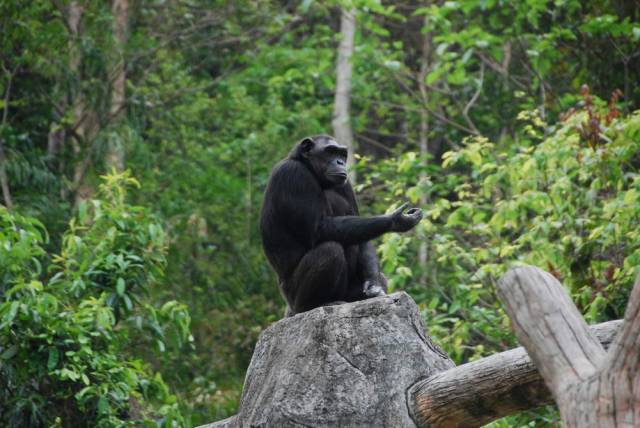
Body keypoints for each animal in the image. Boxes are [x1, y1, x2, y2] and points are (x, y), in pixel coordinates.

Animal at [258, 135, 422, 316]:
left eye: (342, 154)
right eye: (330, 151)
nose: (340, 162)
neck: (310, 169)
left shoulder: (346, 184)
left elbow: (362, 235)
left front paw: (374, 285)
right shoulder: (293, 174)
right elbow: (318, 229)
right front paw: (394, 219)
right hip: (291, 297)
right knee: (330, 250)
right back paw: (314, 305)